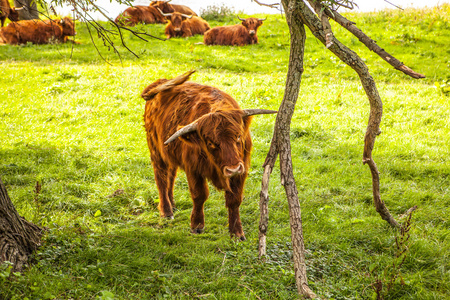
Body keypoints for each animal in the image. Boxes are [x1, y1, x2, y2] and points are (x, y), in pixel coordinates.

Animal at [141, 69, 276, 239]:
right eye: (211, 143)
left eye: (238, 136)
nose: (232, 169)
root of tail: (160, 82)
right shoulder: (193, 169)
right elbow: (199, 195)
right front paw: (197, 226)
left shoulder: (242, 169)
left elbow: (234, 200)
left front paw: (237, 233)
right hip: (156, 150)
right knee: (161, 178)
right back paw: (166, 211)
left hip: (169, 153)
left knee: (170, 176)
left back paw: (172, 204)